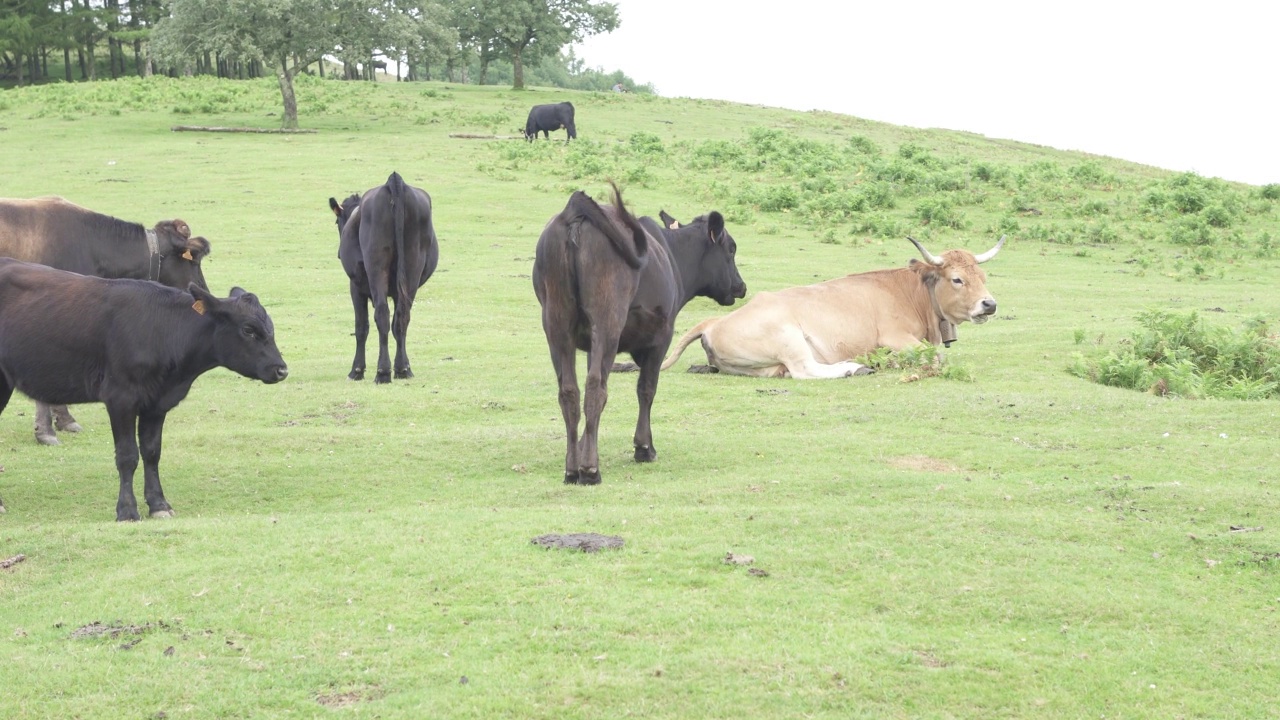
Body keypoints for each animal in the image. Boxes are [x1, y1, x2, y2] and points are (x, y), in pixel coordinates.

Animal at [0, 256, 288, 515]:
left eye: (271, 328)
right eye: (248, 330)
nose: (281, 369)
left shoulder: (157, 403)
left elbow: (151, 452)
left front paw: (159, 505)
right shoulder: (120, 397)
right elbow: (127, 455)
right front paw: (127, 510)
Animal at [330, 171, 440, 384]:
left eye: (337, 222)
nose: (339, 254)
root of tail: (395, 182)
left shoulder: (355, 287)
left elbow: (361, 326)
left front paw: (357, 370)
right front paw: (405, 366)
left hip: (376, 264)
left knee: (381, 314)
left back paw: (383, 372)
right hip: (412, 265)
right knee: (402, 316)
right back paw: (402, 369)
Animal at [532, 181, 747, 484]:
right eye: (731, 249)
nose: (741, 286)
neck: (672, 255)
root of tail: (575, 211)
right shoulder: (662, 336)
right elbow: (646, 388)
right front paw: (644, 448)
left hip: (556, 322)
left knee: (570, 391)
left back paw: (572, 469)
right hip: (607, 319)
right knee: (596, 387)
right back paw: (590, 470)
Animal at [665, 237, 1003, 381]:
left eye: (983, 277)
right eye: (957, 279)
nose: (990, 304)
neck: (912, 292)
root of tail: (712, 323)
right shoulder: (894, 337)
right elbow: (933, 357)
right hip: (789, 337)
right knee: (804, 370)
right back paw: (855, 367)